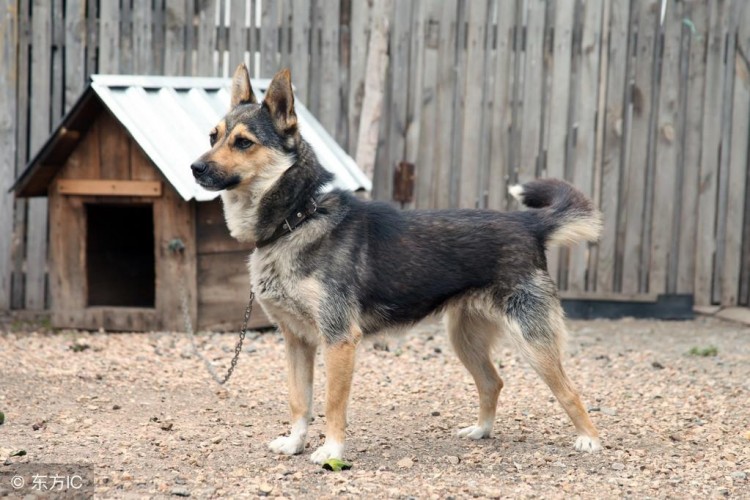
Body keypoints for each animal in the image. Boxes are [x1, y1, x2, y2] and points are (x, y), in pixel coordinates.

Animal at [192, 64, 604, 462]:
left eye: (244, 142)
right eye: (213, 137)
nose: (195, 167)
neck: (297, 218)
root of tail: (528, 223)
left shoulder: (339, 339)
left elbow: (332, 403)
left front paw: (332, 451)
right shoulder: (296, 341)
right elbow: (299, 401)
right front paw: (295, 443)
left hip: (532, 340)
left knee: (569, 391)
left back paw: (589, 440)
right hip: (464, 337)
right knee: (493, 381)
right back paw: (481, 430)